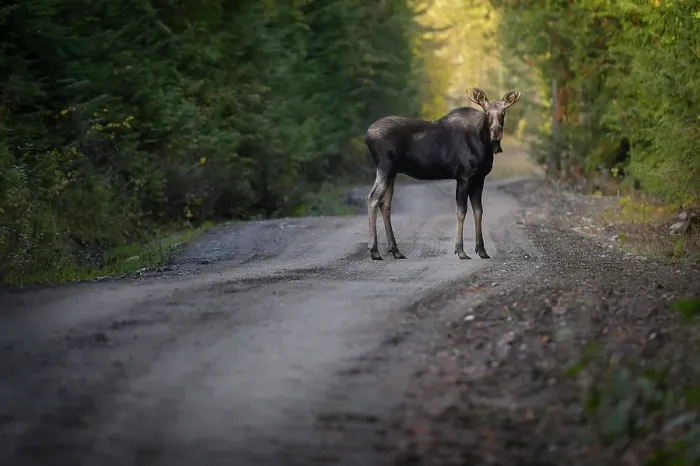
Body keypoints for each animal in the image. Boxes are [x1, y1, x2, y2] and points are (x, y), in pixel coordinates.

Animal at [364, 87, 522, 261]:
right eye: (486, 113)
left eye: (503, 112)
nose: (496, 132)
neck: (484, 145)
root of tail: (367, 135)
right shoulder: (464, 177)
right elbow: (461, 211)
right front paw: (460, 250)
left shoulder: (479, 179)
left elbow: (478, 211)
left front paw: (481, 250)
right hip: (385, 167)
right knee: (372, 198)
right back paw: (374, 250)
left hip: (392, 172)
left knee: (385, 204)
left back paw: (395, 250)